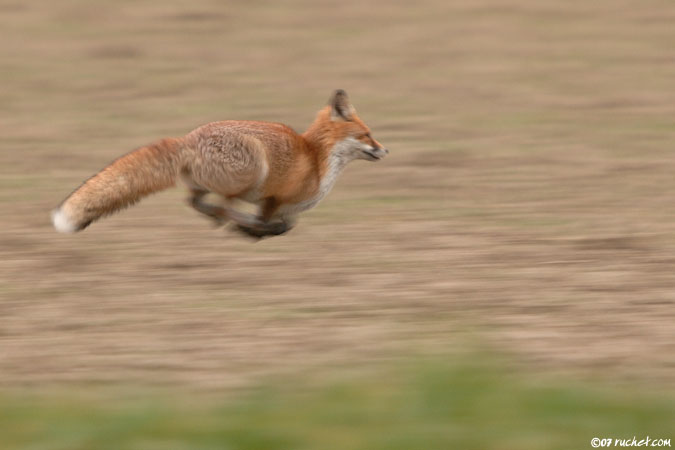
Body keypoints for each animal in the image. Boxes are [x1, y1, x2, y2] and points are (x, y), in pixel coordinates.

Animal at [50, 89, 388, 239]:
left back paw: (219, 220)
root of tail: (187, 138)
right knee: (223, 207)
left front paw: (260, 231)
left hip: (205, 185)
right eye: (367, 134)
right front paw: (254, 230)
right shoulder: (273, 198)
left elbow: (288, 224)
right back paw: (233, 222)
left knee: (195, 202)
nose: (386, 149)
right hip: (252, 173)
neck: (317, 160)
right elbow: (270, 221)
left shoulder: (286, 208)